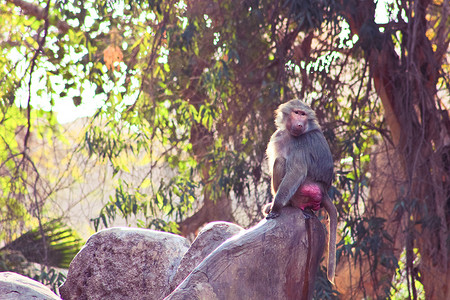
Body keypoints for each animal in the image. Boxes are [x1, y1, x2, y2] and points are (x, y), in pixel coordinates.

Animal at [264, 100, 338, 284]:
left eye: (303, 114)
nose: (299, 123)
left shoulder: (301, 144)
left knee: (281, 162)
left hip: (303, 192)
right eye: (297, 112)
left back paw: (285, 205)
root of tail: (323, 191)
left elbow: (296, 171)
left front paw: (275, 207)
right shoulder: (278, 136)